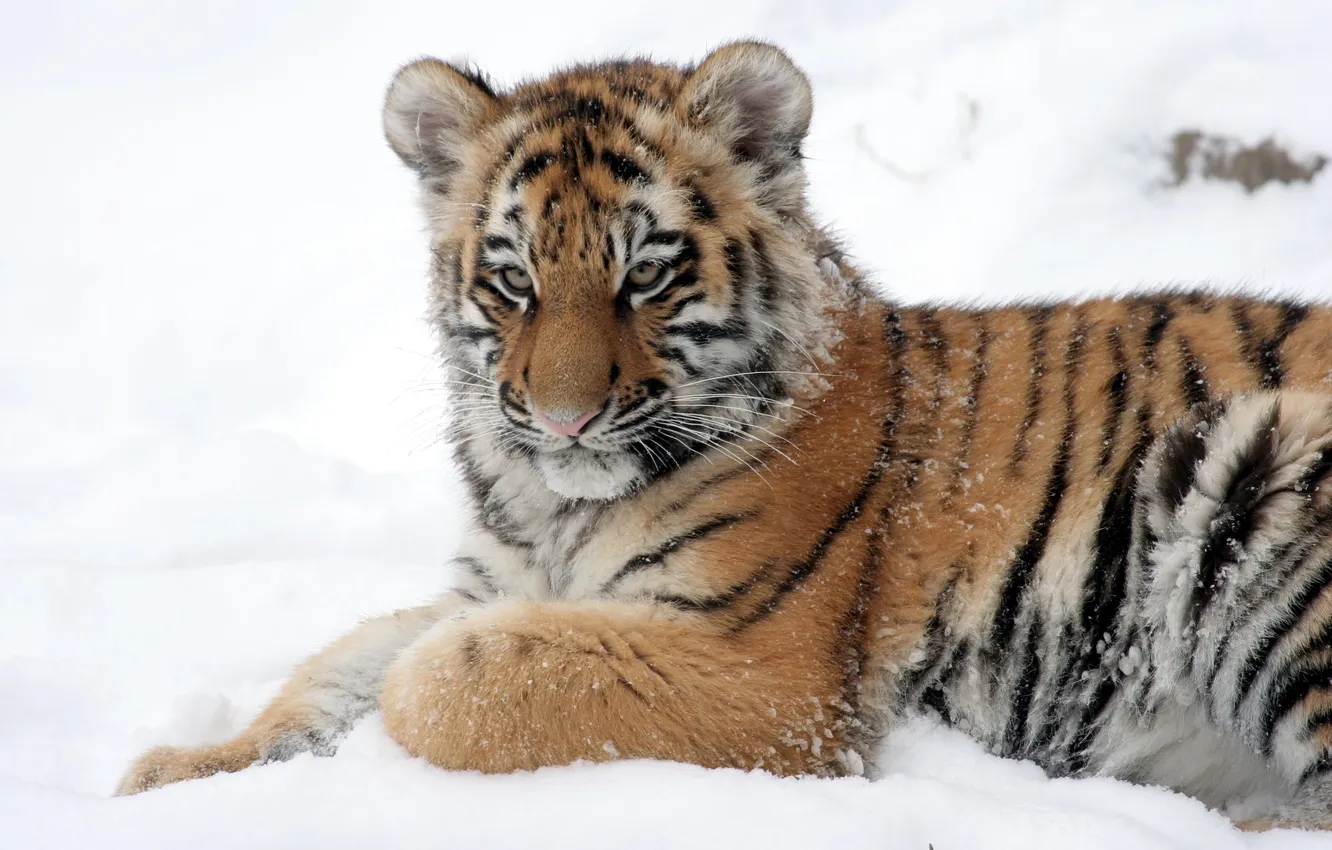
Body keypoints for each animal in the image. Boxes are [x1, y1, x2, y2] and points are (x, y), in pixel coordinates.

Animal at [115, 41, 1332, 831]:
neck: (552, 505)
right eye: (513, 281)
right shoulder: (487, 581)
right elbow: (330, 671)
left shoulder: (764, 675)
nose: (561, 415)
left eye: (642, 275)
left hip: (1260, 477)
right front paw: (173, 775)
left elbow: (453, 677)